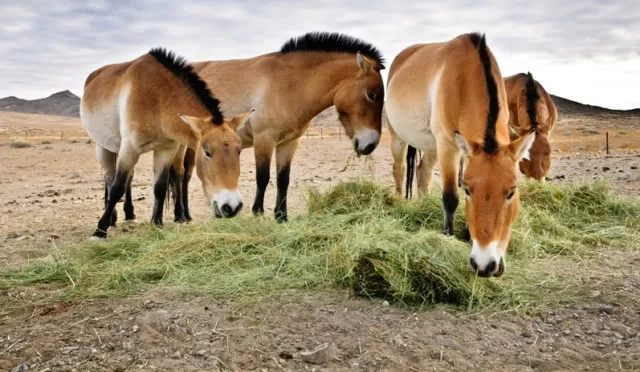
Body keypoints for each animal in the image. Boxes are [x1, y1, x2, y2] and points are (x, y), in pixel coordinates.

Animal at [83, 48, 255, 238]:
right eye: (207, 152)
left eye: (239, 150)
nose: (232, 206)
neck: (158, 99)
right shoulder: (130, 148)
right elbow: (116, 188)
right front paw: (100, 230)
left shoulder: (167, 149)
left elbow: (159, 187)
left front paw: (157, 223)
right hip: (103, 146)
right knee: (110, 178)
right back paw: (112, 218)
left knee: (128, 178)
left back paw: (128, 213)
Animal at [384, 33, 536, 278]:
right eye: (468, 191)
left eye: (511, 192)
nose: (485, 265)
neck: (466, 79)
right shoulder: (448, 145)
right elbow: (450, 197)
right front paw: (448, 236)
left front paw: (467, 233)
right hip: (398, 138)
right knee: (399, 170)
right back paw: (400, 202)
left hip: (431, 147)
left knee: (422, 172)